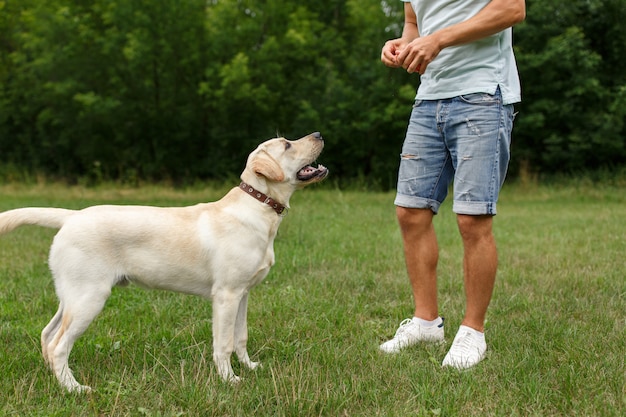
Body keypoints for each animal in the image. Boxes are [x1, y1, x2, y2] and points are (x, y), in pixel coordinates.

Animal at [0, 132, 326, 392]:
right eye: (287, 144)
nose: (319, 134)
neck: (258, 206)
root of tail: (72, 216)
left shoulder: (243, 293)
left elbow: (241, 338)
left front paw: (250, 368)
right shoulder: (226, 295)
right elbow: (223, 344)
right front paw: (229, 380)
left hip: (72, 295)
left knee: (47, 335)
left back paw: (57, 379)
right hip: (89, 297)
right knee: (58, 345)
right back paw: (74, 389)